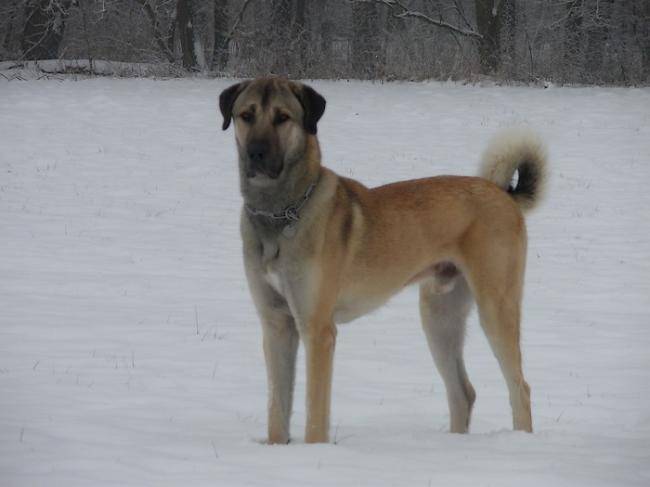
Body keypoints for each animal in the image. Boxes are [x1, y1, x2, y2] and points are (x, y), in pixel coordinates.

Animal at [219, 77, 546, 444]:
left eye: (282, 117)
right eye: (246, 115)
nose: (256, 153)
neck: (280, 212)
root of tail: (504, 194)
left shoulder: (318, 330)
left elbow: (315, 414)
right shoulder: (276, 323)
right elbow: (278, 406)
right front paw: (276, 448)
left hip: (495, 308)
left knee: (520, 388)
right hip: (439, 316)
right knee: (463, 392)